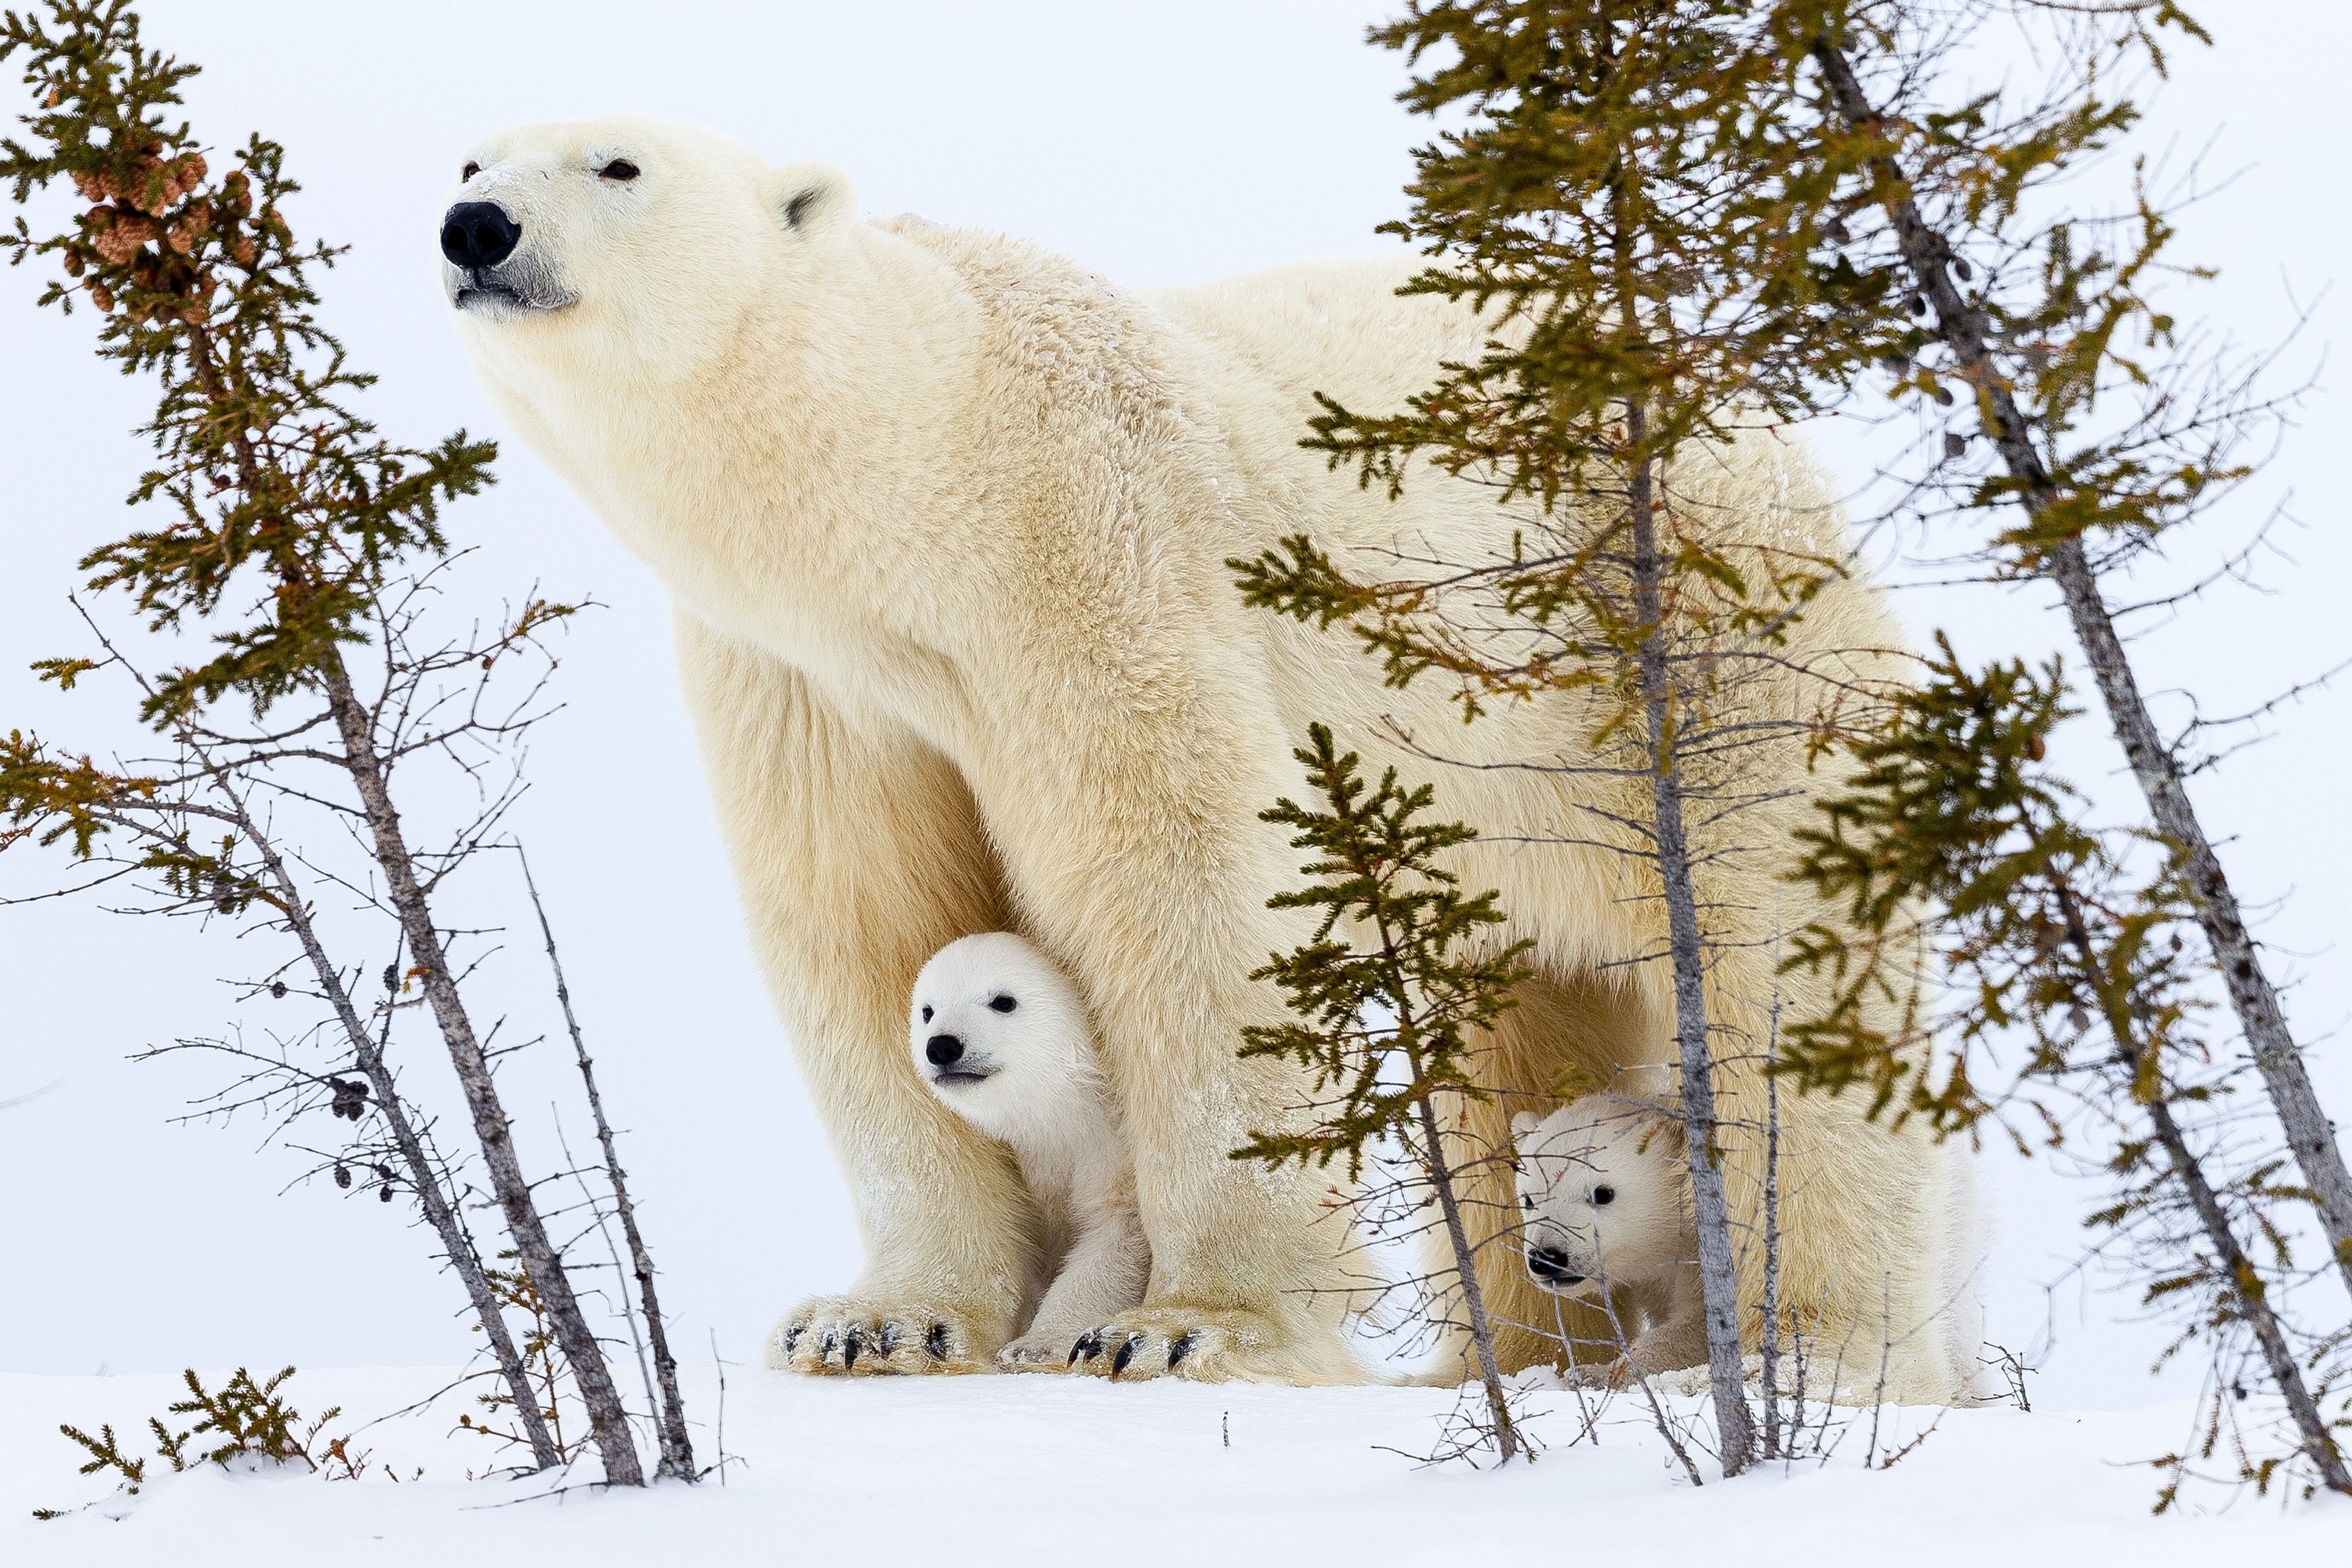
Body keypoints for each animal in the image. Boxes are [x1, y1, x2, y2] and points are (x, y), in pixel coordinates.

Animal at [906, 933, 1151, 1370]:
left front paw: (1033, 1345)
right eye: (927, 1011)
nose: (943, 1047)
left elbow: (1116, 1232)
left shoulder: (1110, 1146)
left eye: (1004, 1001)